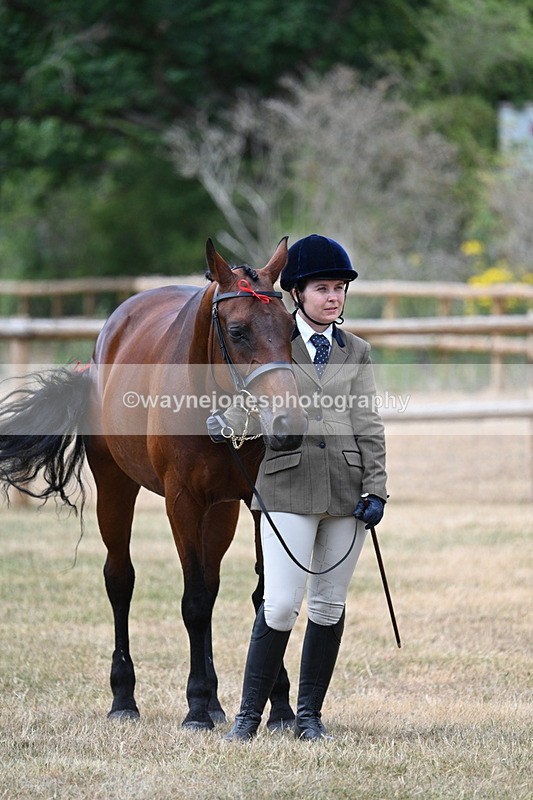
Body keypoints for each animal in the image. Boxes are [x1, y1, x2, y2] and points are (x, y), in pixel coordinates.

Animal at [0, 237, 307, 730]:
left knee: (211, 581)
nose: (287, 423)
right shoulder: (181, 502)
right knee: (120, 580)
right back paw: (125, 698)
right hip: (116, 489)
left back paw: (217, 702)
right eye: (238, 331)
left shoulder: (254, 502)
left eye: (290, 330)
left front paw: (277, 706)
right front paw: (196, 707)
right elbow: (193, 602)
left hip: (220, 511)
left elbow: (263, 595)